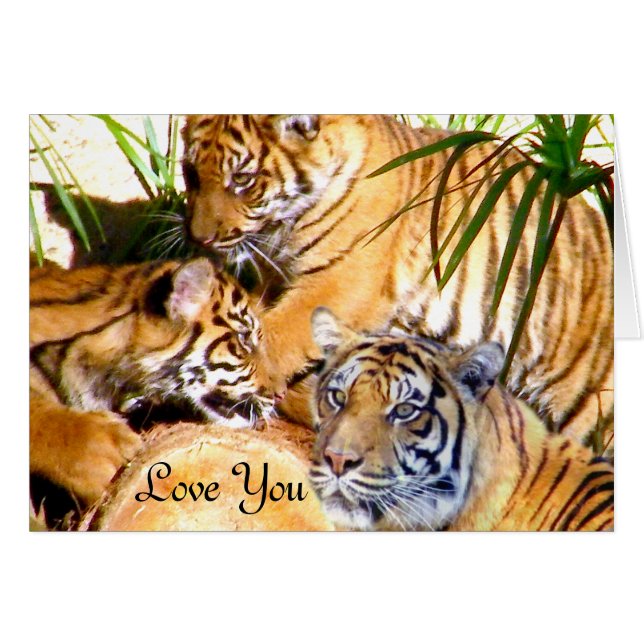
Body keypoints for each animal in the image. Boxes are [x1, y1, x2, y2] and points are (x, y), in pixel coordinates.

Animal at [181, 114, 613, 445]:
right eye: (189, 173)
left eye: (243, 179)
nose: (200, 239)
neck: (282, 227)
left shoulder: (341, 284)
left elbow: (273, 337)